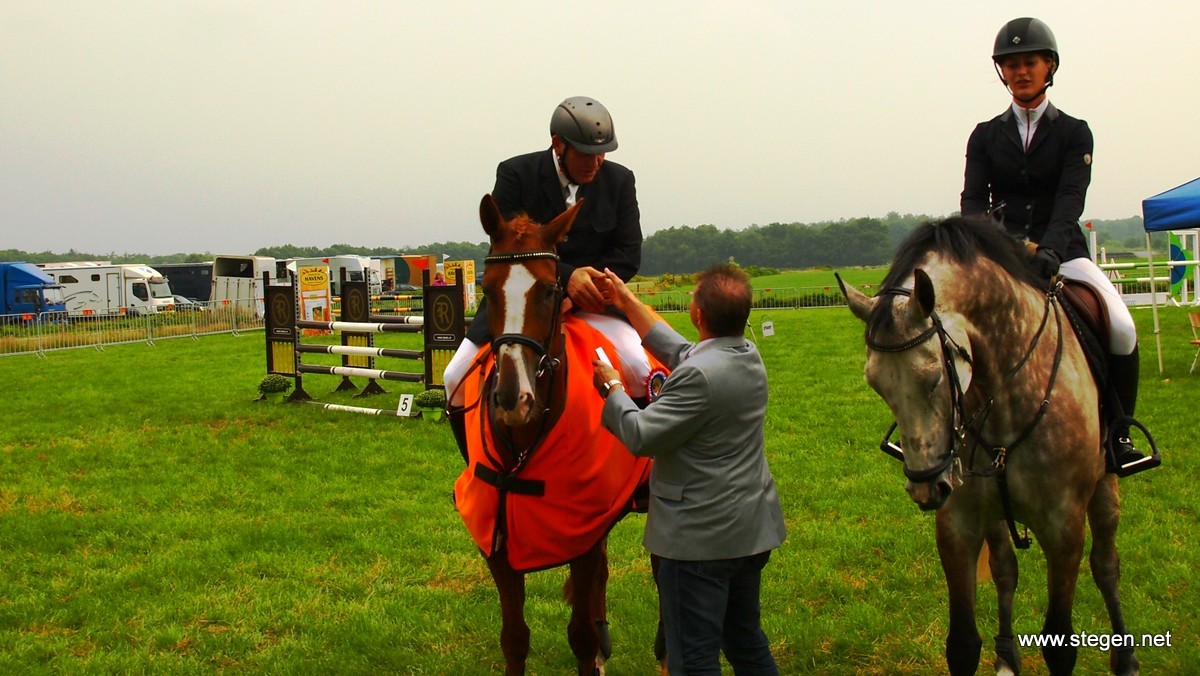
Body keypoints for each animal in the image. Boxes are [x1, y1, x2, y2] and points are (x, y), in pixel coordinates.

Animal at [451, 193, 657, 672]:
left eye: (549, 289)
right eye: (487, 289)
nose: (513, 399)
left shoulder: (582, 533)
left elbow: (579, 635)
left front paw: (592, 649)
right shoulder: (497, 539)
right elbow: (514, 638)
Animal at [840, 218, 1137, 676]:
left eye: (934, 378)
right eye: (876, 385)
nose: (927, 489)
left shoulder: (1064, 527)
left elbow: (1060, 644)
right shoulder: (958, 524)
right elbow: (962, 644)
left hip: (1104, 487)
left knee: (1106, 565)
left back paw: (1126, 658)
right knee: (1004, 570)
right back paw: (1006, 657)